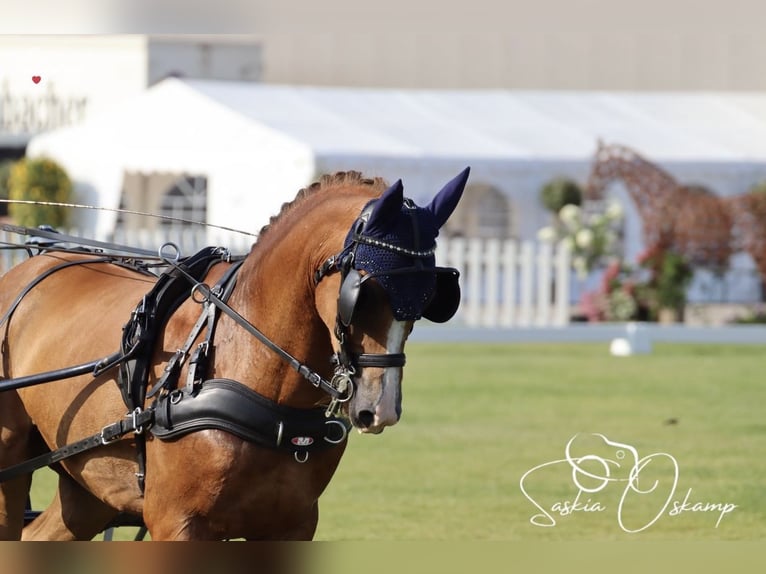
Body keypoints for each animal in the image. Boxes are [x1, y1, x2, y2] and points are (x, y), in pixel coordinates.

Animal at [0, 168, 470, 540]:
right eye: (366, 293)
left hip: (90, 490)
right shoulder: (177, 524)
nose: (381, 408)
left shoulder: (293, 526)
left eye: (431, 296)